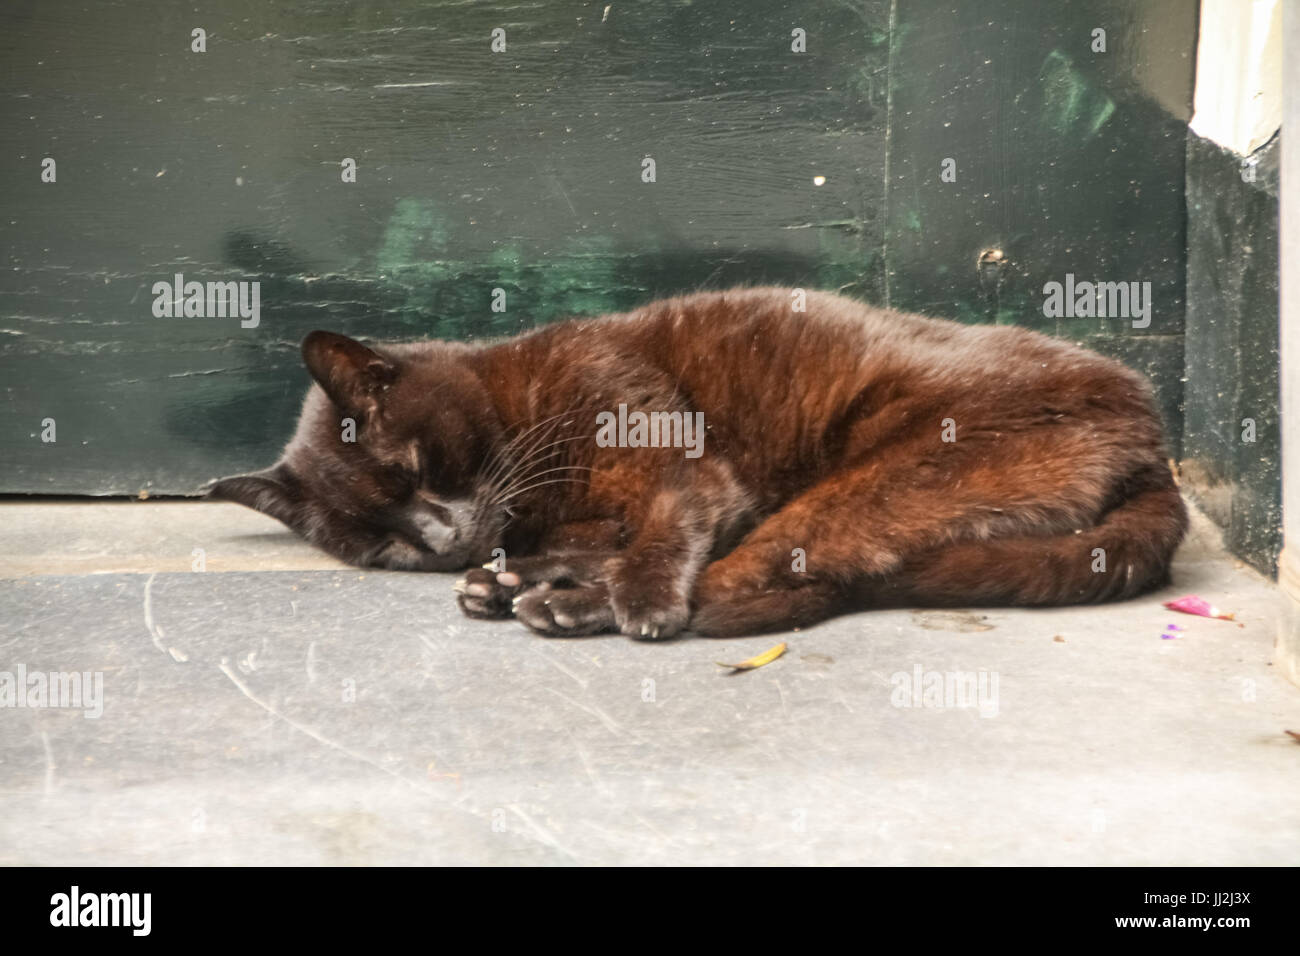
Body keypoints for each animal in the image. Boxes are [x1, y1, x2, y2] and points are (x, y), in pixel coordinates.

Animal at [210, 287, 1190, 639]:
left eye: (415, 468)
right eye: (382, 543)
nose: (443, 540)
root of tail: (1153, 440)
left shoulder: (685, 471)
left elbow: (661, 537)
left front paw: (616, 593)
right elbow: (599, 536)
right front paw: (515, 567)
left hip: (871, 483)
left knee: (753, 576)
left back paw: (567, 607)